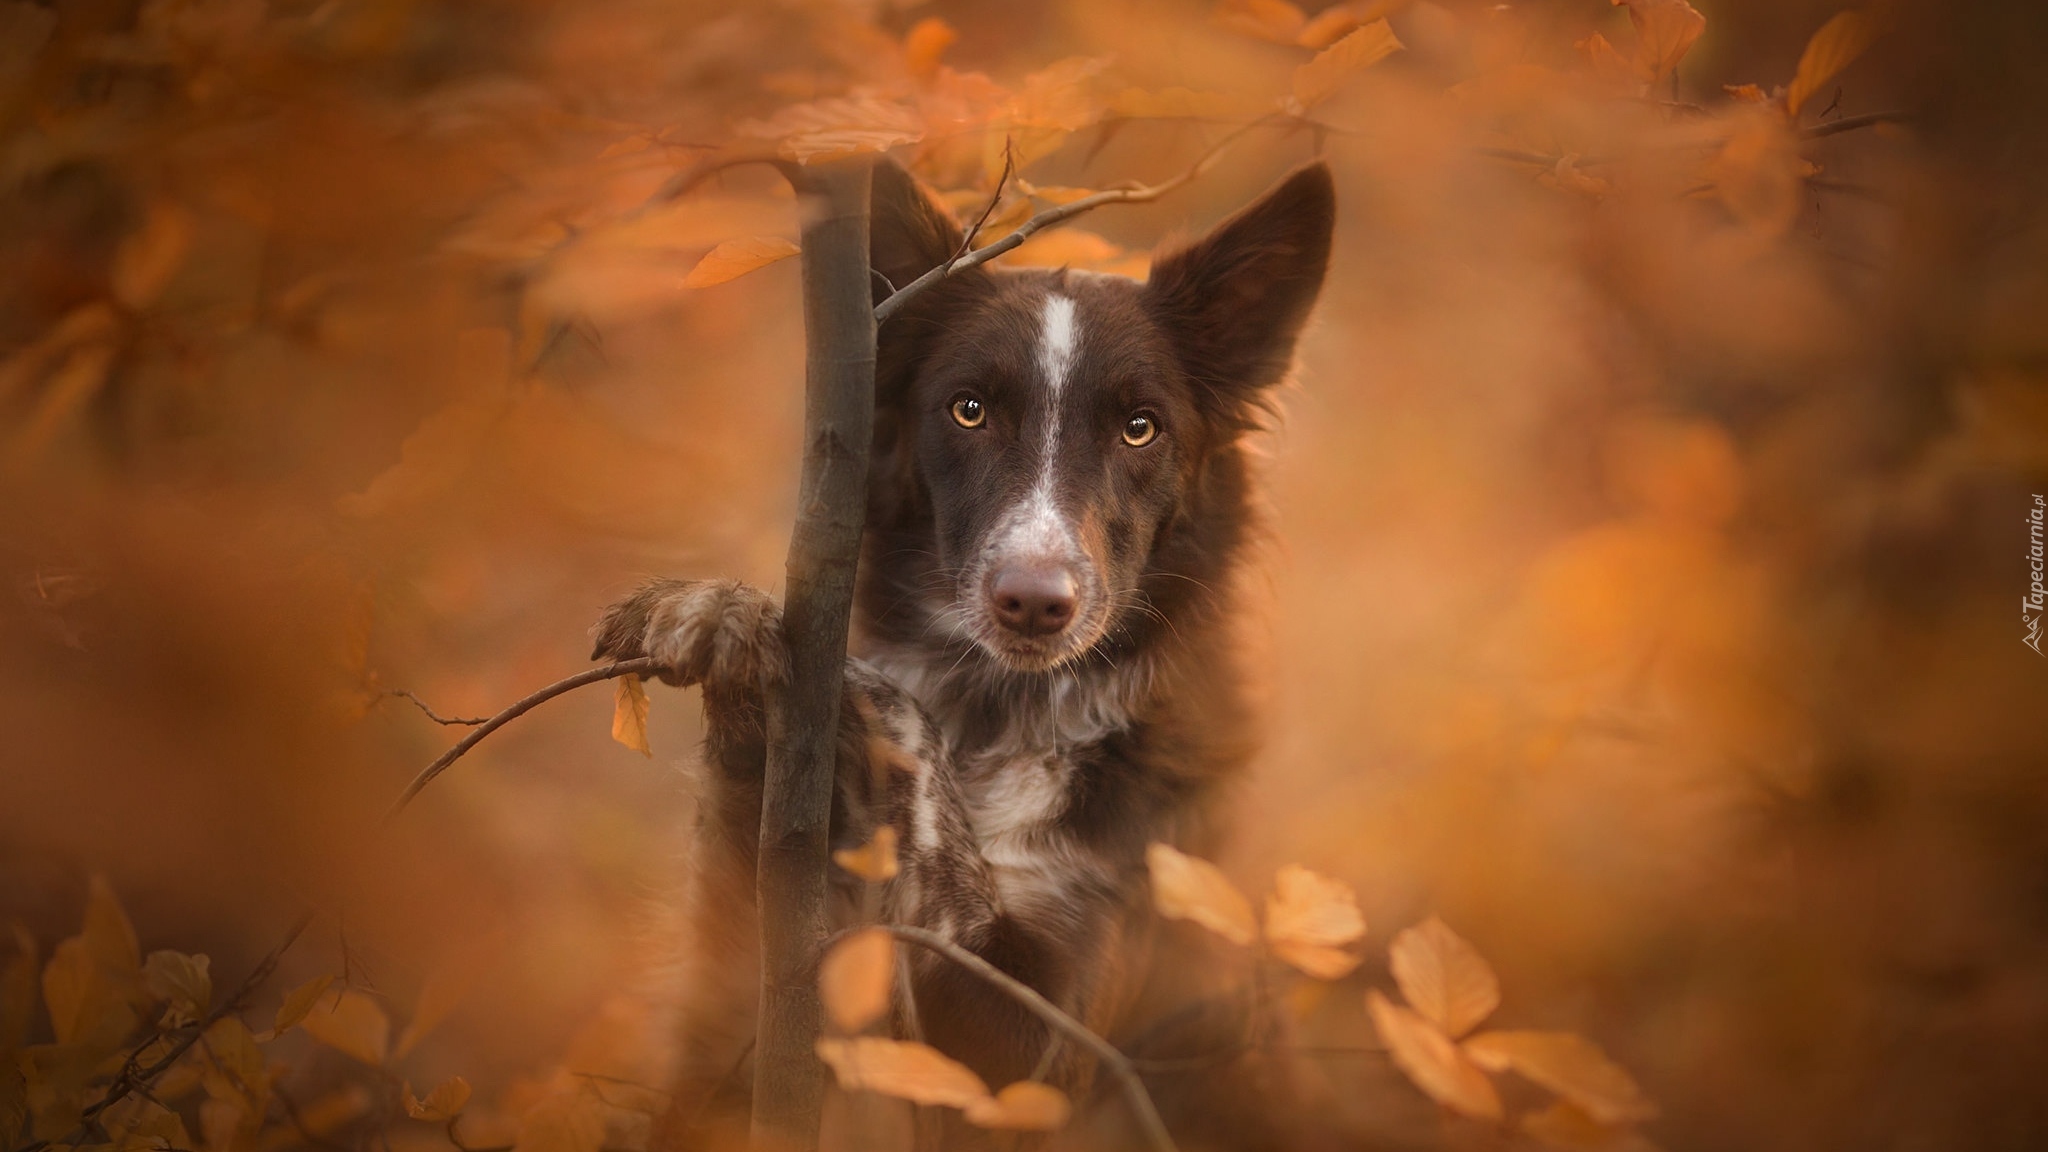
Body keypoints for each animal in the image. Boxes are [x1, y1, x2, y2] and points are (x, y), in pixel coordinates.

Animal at [585, 154, 1335, 1147]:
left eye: (1141, 426)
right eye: (969, 411)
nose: (1034, 604)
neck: (1000, 715)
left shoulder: (1026, 1055)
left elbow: (904, 720)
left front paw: (848, 676)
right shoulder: (742, 1019)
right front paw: (723, 616)